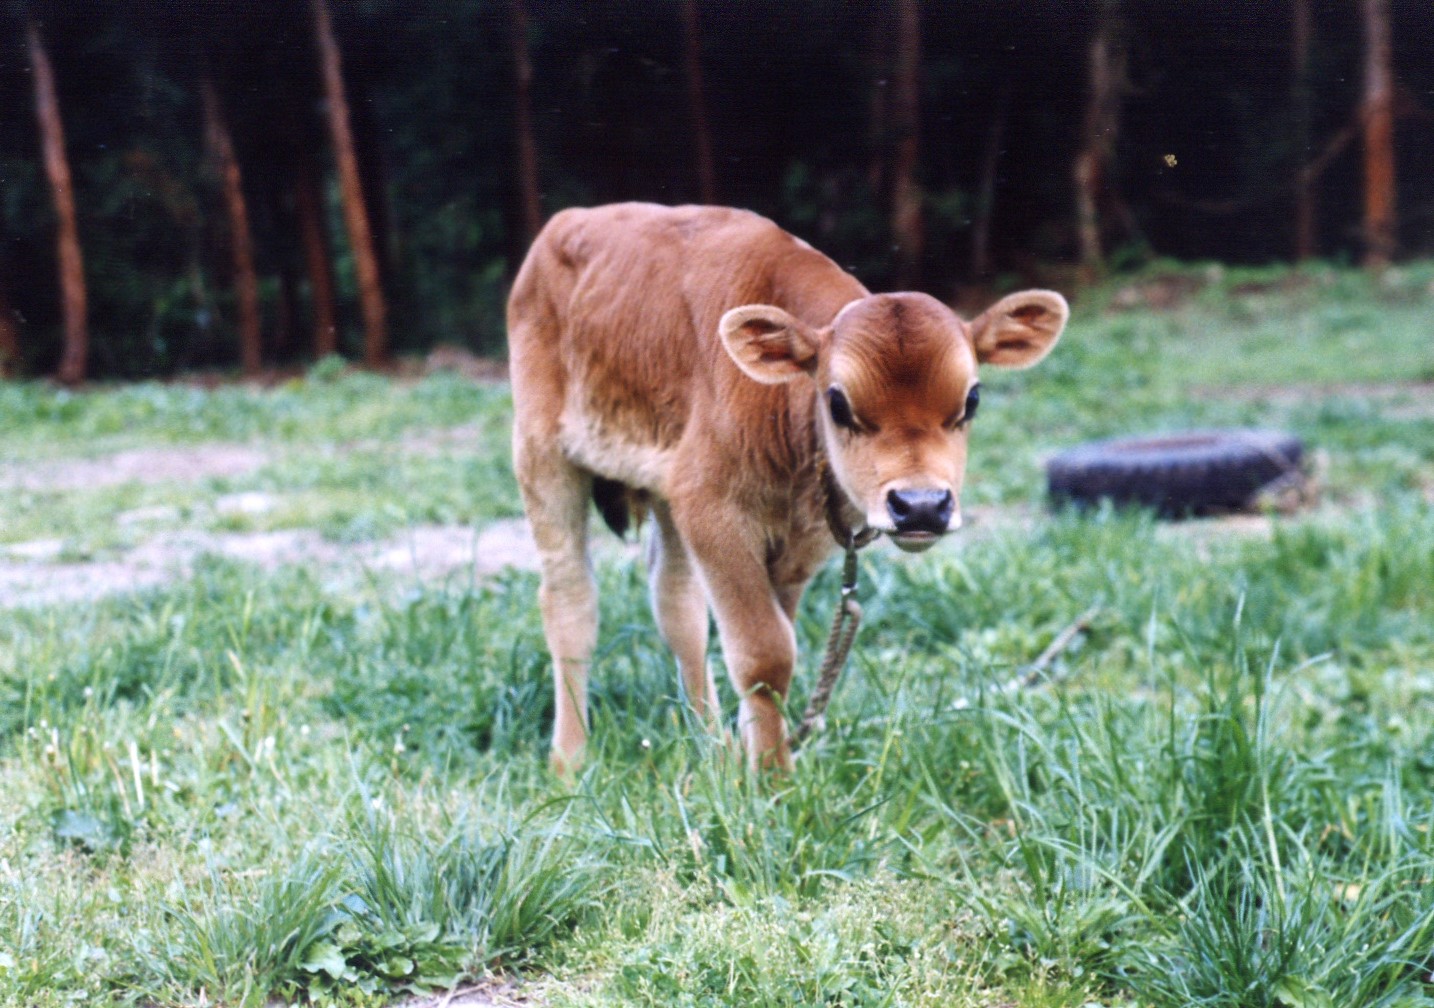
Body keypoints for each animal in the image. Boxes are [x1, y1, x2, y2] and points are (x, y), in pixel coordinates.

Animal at [507, 203, 1066, 774]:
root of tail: (565, 224)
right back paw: (569, 761)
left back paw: (712, 747)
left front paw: (753, 764)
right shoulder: (714, 514)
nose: (921, 507)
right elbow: (763, 656)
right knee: (570, 601)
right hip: (542, 457)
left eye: (972, 398)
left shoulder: (795, 540)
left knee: (677, 601)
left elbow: (777, 651)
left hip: (665, 488)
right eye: (838, 402)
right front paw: (773, 779)